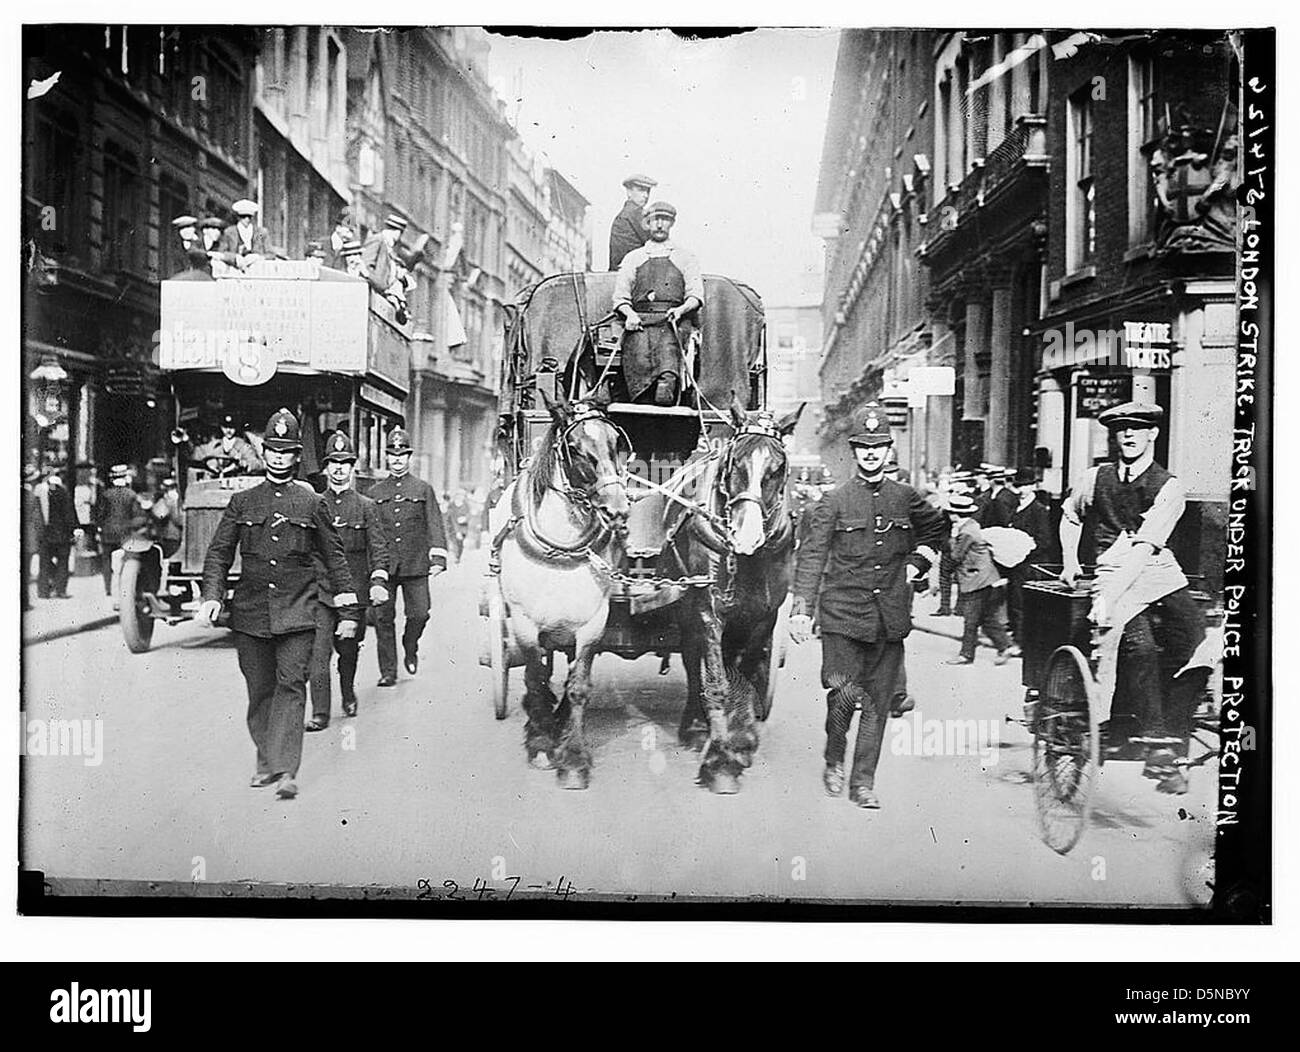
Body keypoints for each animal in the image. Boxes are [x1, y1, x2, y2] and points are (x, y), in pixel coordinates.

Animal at [493, 384, 631, 790]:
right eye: (575, 447)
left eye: (616, 442)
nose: (618, 510)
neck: (561, 545)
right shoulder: (525, 623)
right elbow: (535, 677)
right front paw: (540, 744)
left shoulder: (592, 624)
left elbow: (579, 685)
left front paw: (573, 758)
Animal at [660, 400, 800, 790]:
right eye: (735, 462)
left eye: (777, 469)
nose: (746, 537)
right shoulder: (709, 612)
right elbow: (717, 682)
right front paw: (720, 761)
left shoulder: (765, 616)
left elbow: (745, 672)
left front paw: (740, 743)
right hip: (687, 609)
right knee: (693, 661)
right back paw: (695, 726)